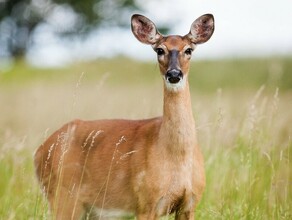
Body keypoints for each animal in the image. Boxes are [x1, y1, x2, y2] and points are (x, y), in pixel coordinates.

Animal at [34, 12, 214, 219]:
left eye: (189, 50)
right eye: (159, 50)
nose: (174, 74)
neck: (177, 157)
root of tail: (39, 152)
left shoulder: (190, 204)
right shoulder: (145, 203)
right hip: (63, 197)